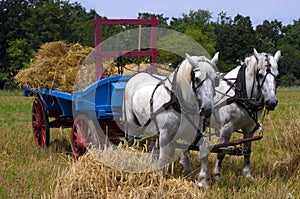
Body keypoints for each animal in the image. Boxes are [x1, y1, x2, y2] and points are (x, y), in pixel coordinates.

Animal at [180, 48, 282, 187]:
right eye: (260, 75)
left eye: (277, 75)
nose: (272, 102)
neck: (242, 94)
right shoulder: (227, 127)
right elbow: (222, 151)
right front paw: (217, 175)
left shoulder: (249, 129)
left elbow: (247, 151)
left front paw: (247, 174)